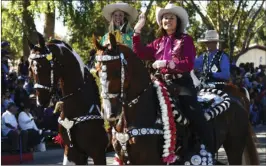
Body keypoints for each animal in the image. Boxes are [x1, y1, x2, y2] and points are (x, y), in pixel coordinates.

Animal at [92, 32, 258, 165]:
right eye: (98, 71)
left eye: (116, 71)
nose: (109, 113)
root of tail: (238, 98)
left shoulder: (150, 160)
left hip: (235, 147)